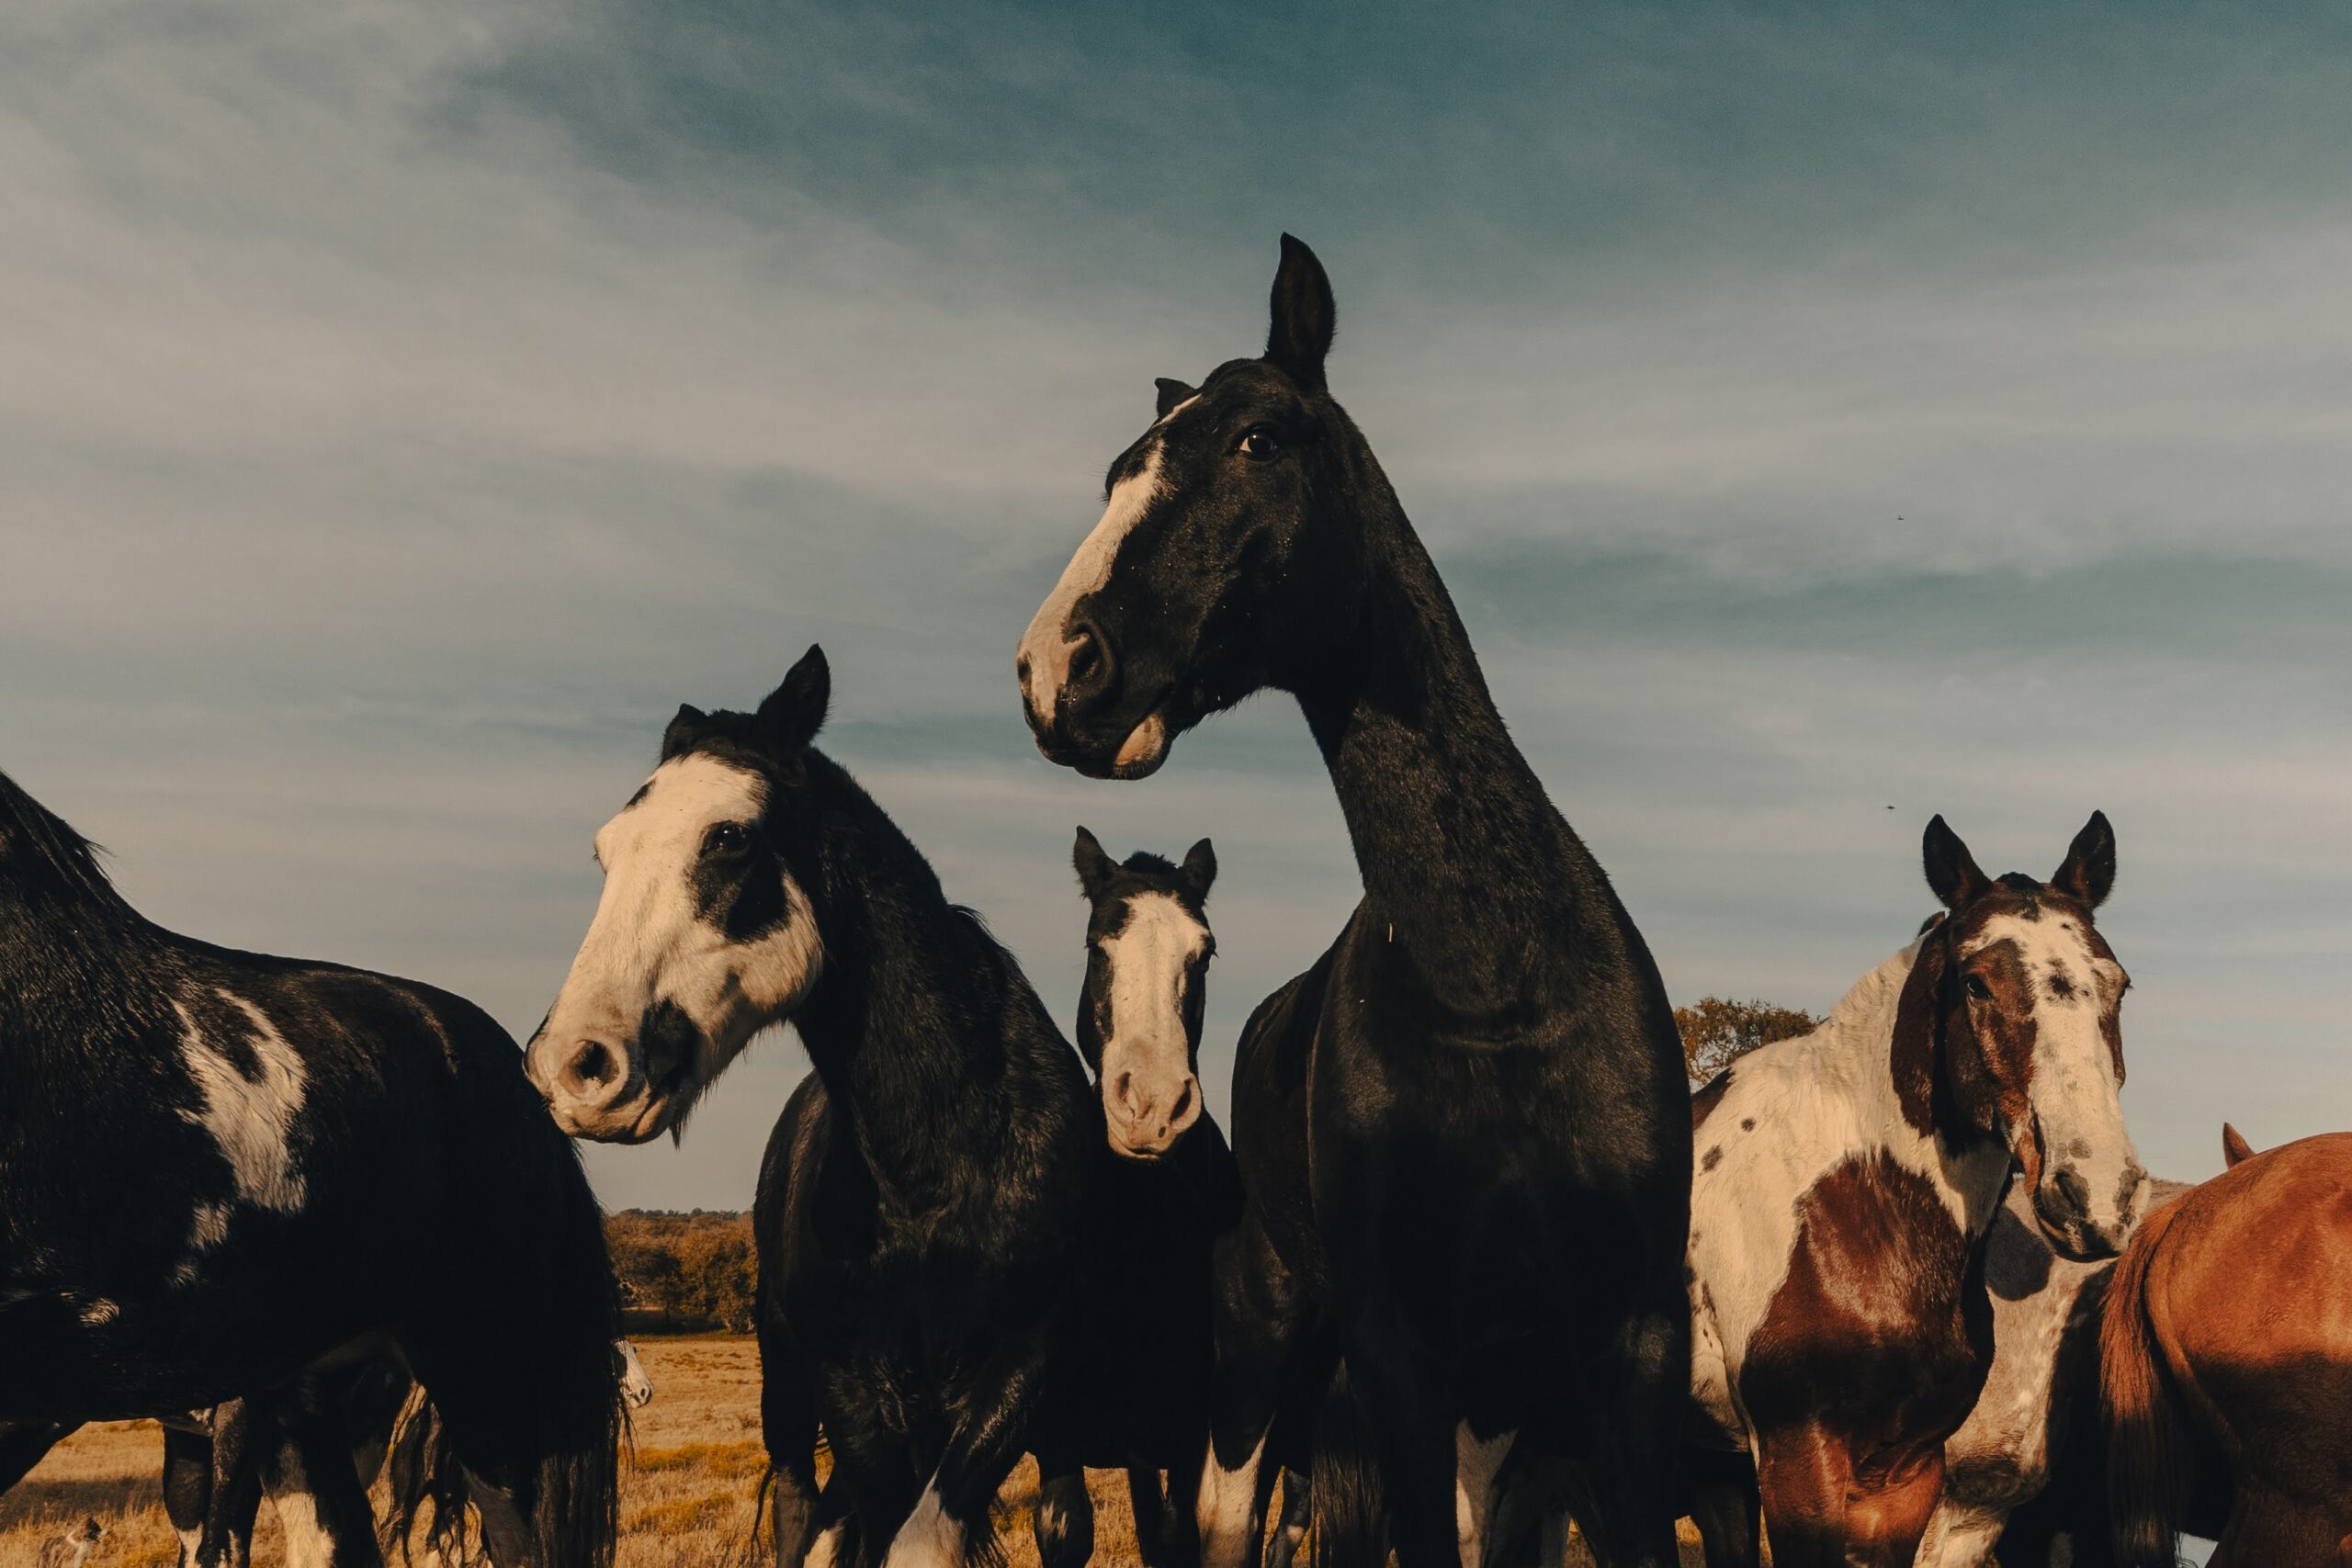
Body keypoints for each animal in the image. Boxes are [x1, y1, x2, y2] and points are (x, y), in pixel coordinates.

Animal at [526, 648, 1238, 1567]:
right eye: (606, 851)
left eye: (727, 837)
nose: (573, 1065)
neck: (943, 1163)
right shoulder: (854, 1395)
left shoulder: (1020, 1375)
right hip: (791, 1400)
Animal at [1014, 233, 1692, 1567]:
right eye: (1118, 471)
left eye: (1259, 440)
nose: (1056, 665)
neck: (1499, 987)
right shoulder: (1400, 1357)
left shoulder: (1622, 1349)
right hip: (1264, 1356)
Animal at [1682, 813, 2147, 1568]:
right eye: (1977, 983)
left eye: (2119, 985)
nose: (2096, 1196)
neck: (1856, 1209)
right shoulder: (1799, 1461)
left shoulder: (1906, 1474)